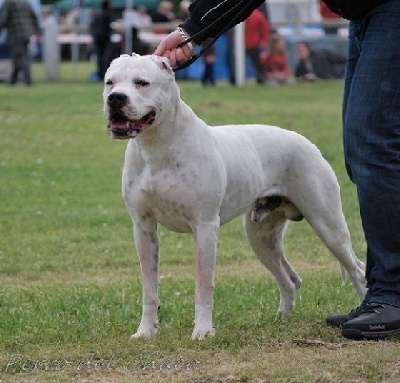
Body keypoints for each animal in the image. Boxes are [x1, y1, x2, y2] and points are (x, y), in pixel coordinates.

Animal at [102, 54, 366, 342]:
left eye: (142, 83)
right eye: (110, 82)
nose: (115, 98)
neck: (157, 146)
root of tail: (307, 142)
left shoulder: (205, 227)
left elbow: (204, 284)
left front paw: (203, 330)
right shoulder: (144, 228)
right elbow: (149, 287)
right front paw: (146, 331)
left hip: (328, 225)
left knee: (357, 269)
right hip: (261, 237)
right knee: (290, 279)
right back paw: (281, 320)